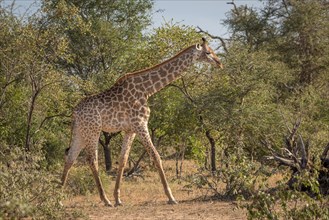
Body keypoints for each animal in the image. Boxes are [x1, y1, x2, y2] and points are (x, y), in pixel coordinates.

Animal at [60, 37, 222, 206]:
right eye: (208, 52)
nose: (219, 63)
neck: (147, 90)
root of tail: (75, 112)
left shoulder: (130, 129)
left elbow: (123, 160)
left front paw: (118, 198)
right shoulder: (140, 124)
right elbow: (156, 156)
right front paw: (171, 197)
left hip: (80, 131)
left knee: (70, 158)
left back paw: (58, 199)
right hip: (93, 130)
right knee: (92, 160)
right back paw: (105, 200)